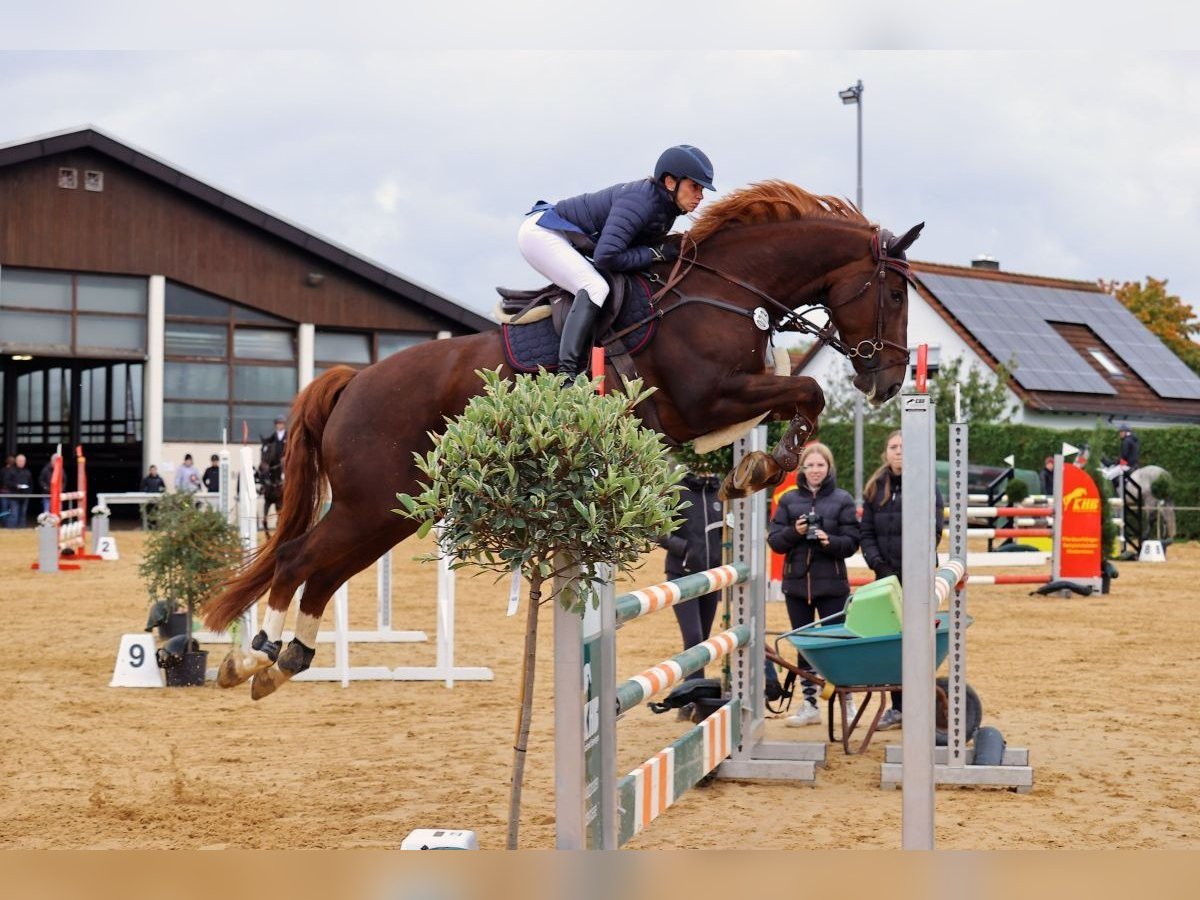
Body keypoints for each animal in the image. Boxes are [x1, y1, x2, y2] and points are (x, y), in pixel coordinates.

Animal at [206, 180, 921, 700]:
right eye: (892, 291)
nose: (887, 379)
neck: (720, 290)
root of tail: (354, 379)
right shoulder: (704, 399)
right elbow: (808, 391)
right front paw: (765, 468)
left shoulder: (714, 410)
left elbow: (794, 396)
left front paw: (755, 469)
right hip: (371, 503)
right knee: (297, 559)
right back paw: (252, 659)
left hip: (388, 512)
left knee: (324, 572)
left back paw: (284, 661)